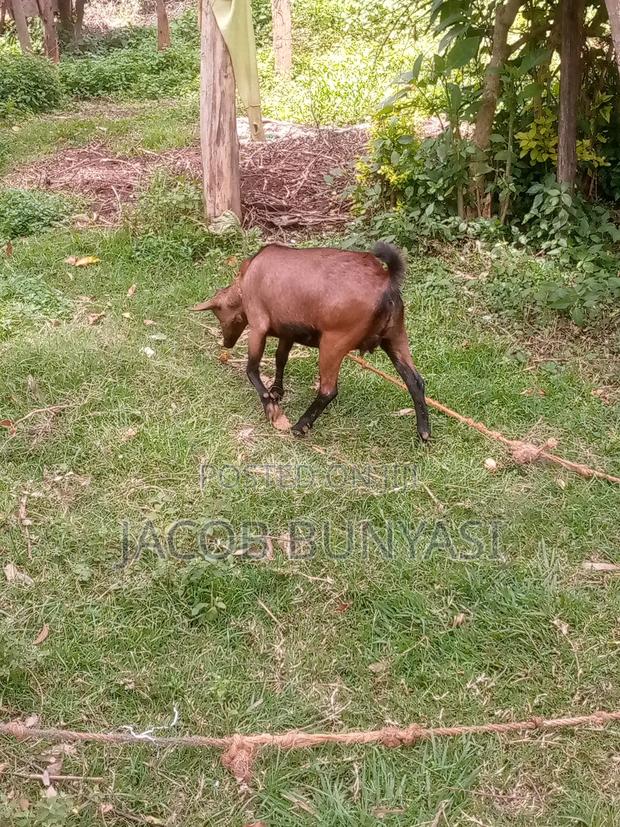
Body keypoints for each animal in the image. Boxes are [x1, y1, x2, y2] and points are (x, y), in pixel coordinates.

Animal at [191, 242, 430, 441]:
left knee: (328, 390)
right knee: (415, 381)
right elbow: (280, 358)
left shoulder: (258, 324)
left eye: (220, 315)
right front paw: (277, 391)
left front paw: (270, 406)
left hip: (334, 343)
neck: (248, 276)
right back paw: (424, 432)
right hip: (396, 337)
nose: (226, 343)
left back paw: (301, 425)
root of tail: (387, 282)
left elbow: (251, 369)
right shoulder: (287, 332)